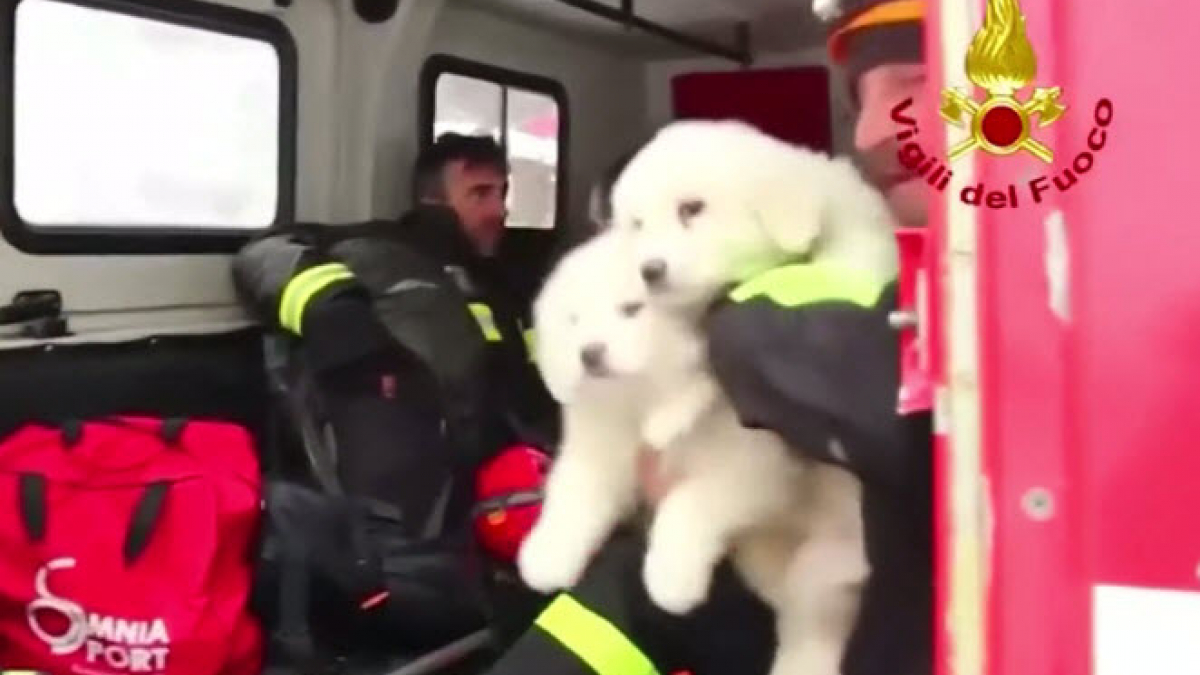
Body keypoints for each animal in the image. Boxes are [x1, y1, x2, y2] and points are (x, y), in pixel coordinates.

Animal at [520, 228, 868, 672]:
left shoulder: (753, 467)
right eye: (573, 320)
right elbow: (573, 498)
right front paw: (546, 556)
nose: (590, 353)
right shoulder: (600, 450)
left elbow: (687, 504)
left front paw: (670, 579)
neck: (643, 401)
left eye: (631, 310)